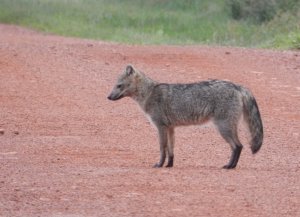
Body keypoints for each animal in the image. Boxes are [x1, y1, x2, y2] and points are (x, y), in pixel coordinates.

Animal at [108, 65, 262, 169]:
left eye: (119, 86)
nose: (108, 97)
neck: (149, 92)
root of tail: (237, 86)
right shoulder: (170, 128)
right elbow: (171, 150)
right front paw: (169, 165)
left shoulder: (160, 127)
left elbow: (162, 148)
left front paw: (159, 164)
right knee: (239, 146)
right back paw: (232, 165)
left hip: (223, 128)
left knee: (238, 146)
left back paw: (229, 166)